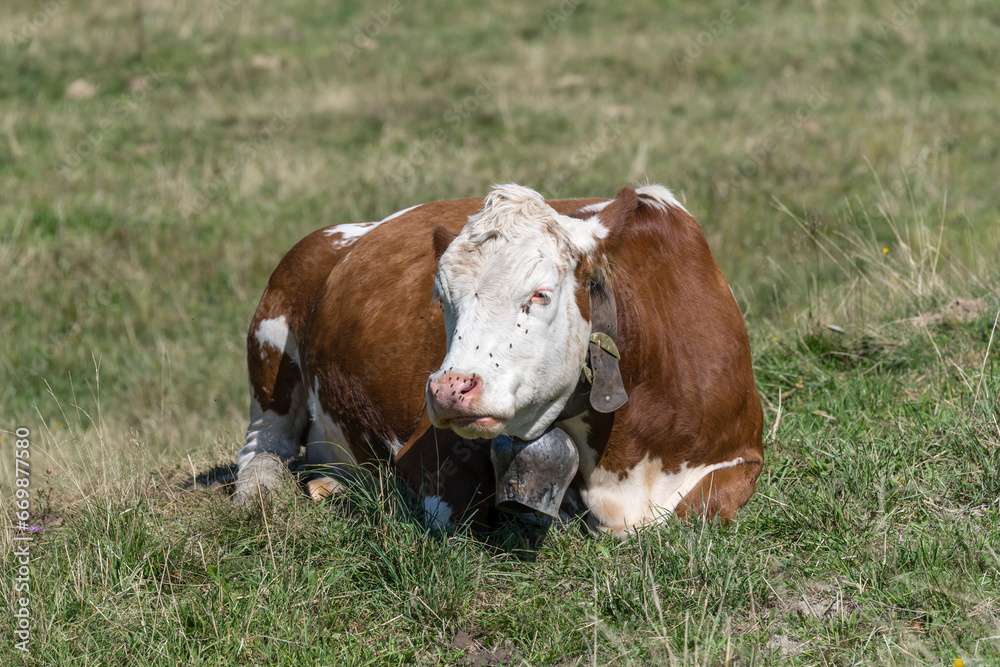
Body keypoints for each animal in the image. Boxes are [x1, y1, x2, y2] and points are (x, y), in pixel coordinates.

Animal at [236, 183, 764, 536]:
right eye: (441, 297)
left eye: (540, 294)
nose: (449, 390)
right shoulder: (428, 458)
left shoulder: (744, 452)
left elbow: (701, 507)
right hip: (275, 323)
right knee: (264, 448)